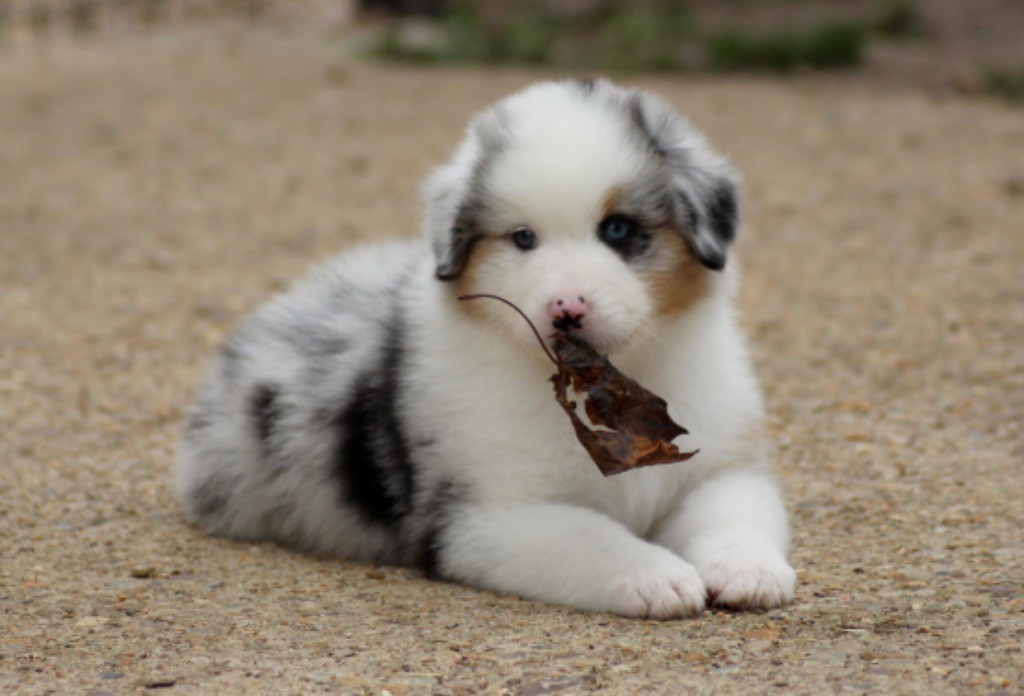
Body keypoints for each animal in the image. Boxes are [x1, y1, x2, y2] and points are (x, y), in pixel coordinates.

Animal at [177, 79, 795, 618]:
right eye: (523, 239)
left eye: (618, 230)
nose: (566, 310)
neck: (612, 382)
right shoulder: (485, 516)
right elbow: (588, 537)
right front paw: (655, 576)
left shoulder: (720, 466)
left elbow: (734, 513)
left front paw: (749, 571)